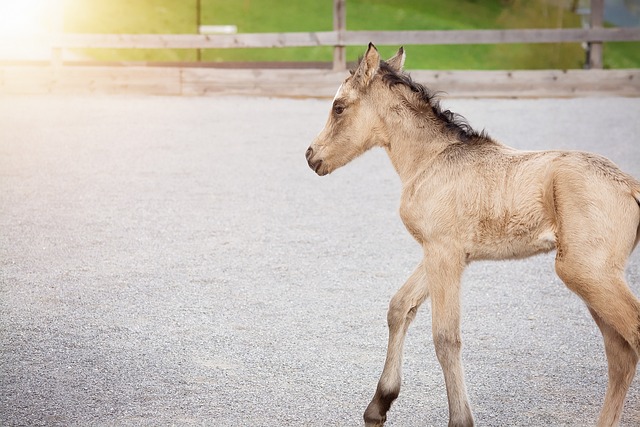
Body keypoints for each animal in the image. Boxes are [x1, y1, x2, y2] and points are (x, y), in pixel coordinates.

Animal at [304, 44, 640, 427]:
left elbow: (445, 337)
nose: (311, 156)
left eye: (339, 107)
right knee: (620, 354)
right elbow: (400, 306)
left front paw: (459, 418)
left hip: (587, 272)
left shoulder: (444, 253)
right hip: (593, 280)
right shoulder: (442, 252)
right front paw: (379, 405)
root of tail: (629, 185)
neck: (430, 160)